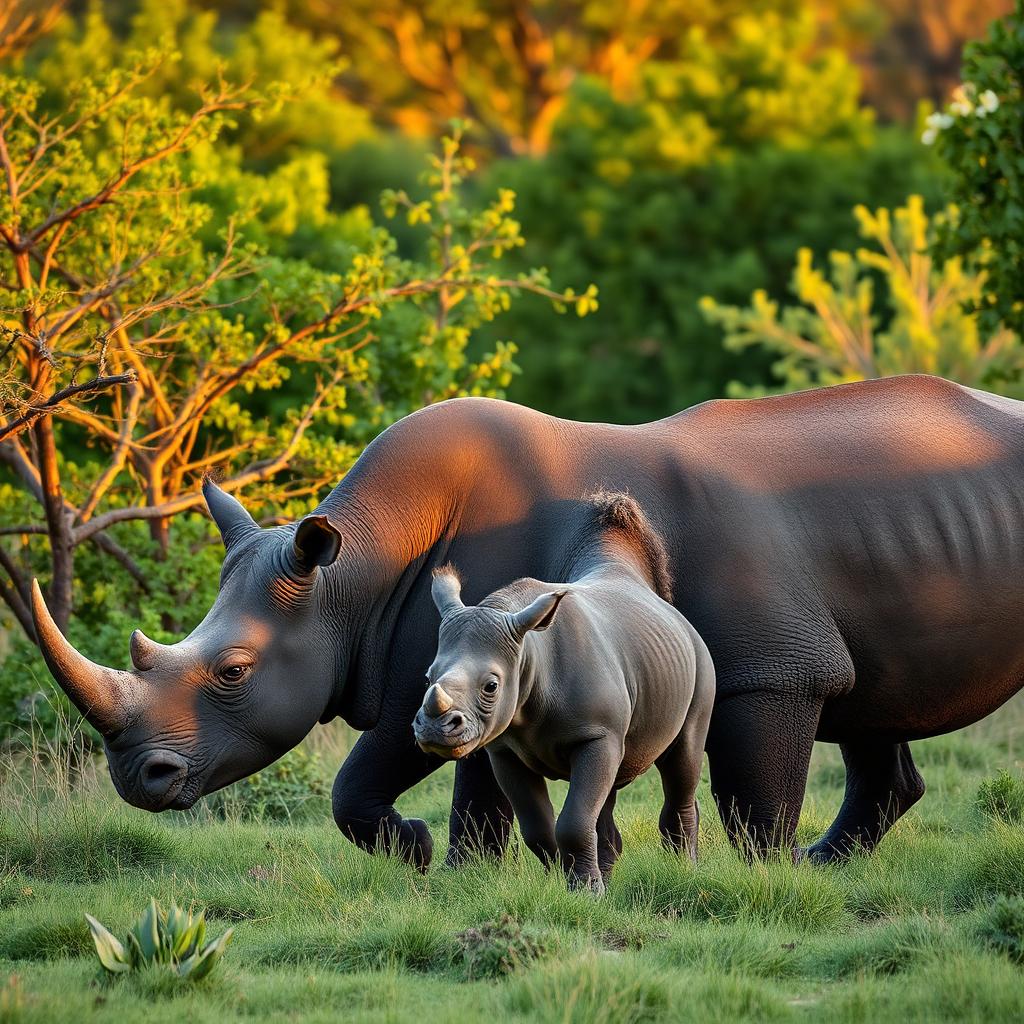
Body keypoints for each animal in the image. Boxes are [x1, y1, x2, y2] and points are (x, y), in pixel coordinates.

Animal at [413, 493, 715, 891]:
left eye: (491, 686)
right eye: (427, 677)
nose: (434, 730)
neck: (529, 651)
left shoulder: (595, 734)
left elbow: (572, 821)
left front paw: (585, 891)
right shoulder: (504, 750)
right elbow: (538, 826)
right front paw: (565, 881)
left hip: (700, 661)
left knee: (681, 762)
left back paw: (685, 870)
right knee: (609, 788)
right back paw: (608, 876)